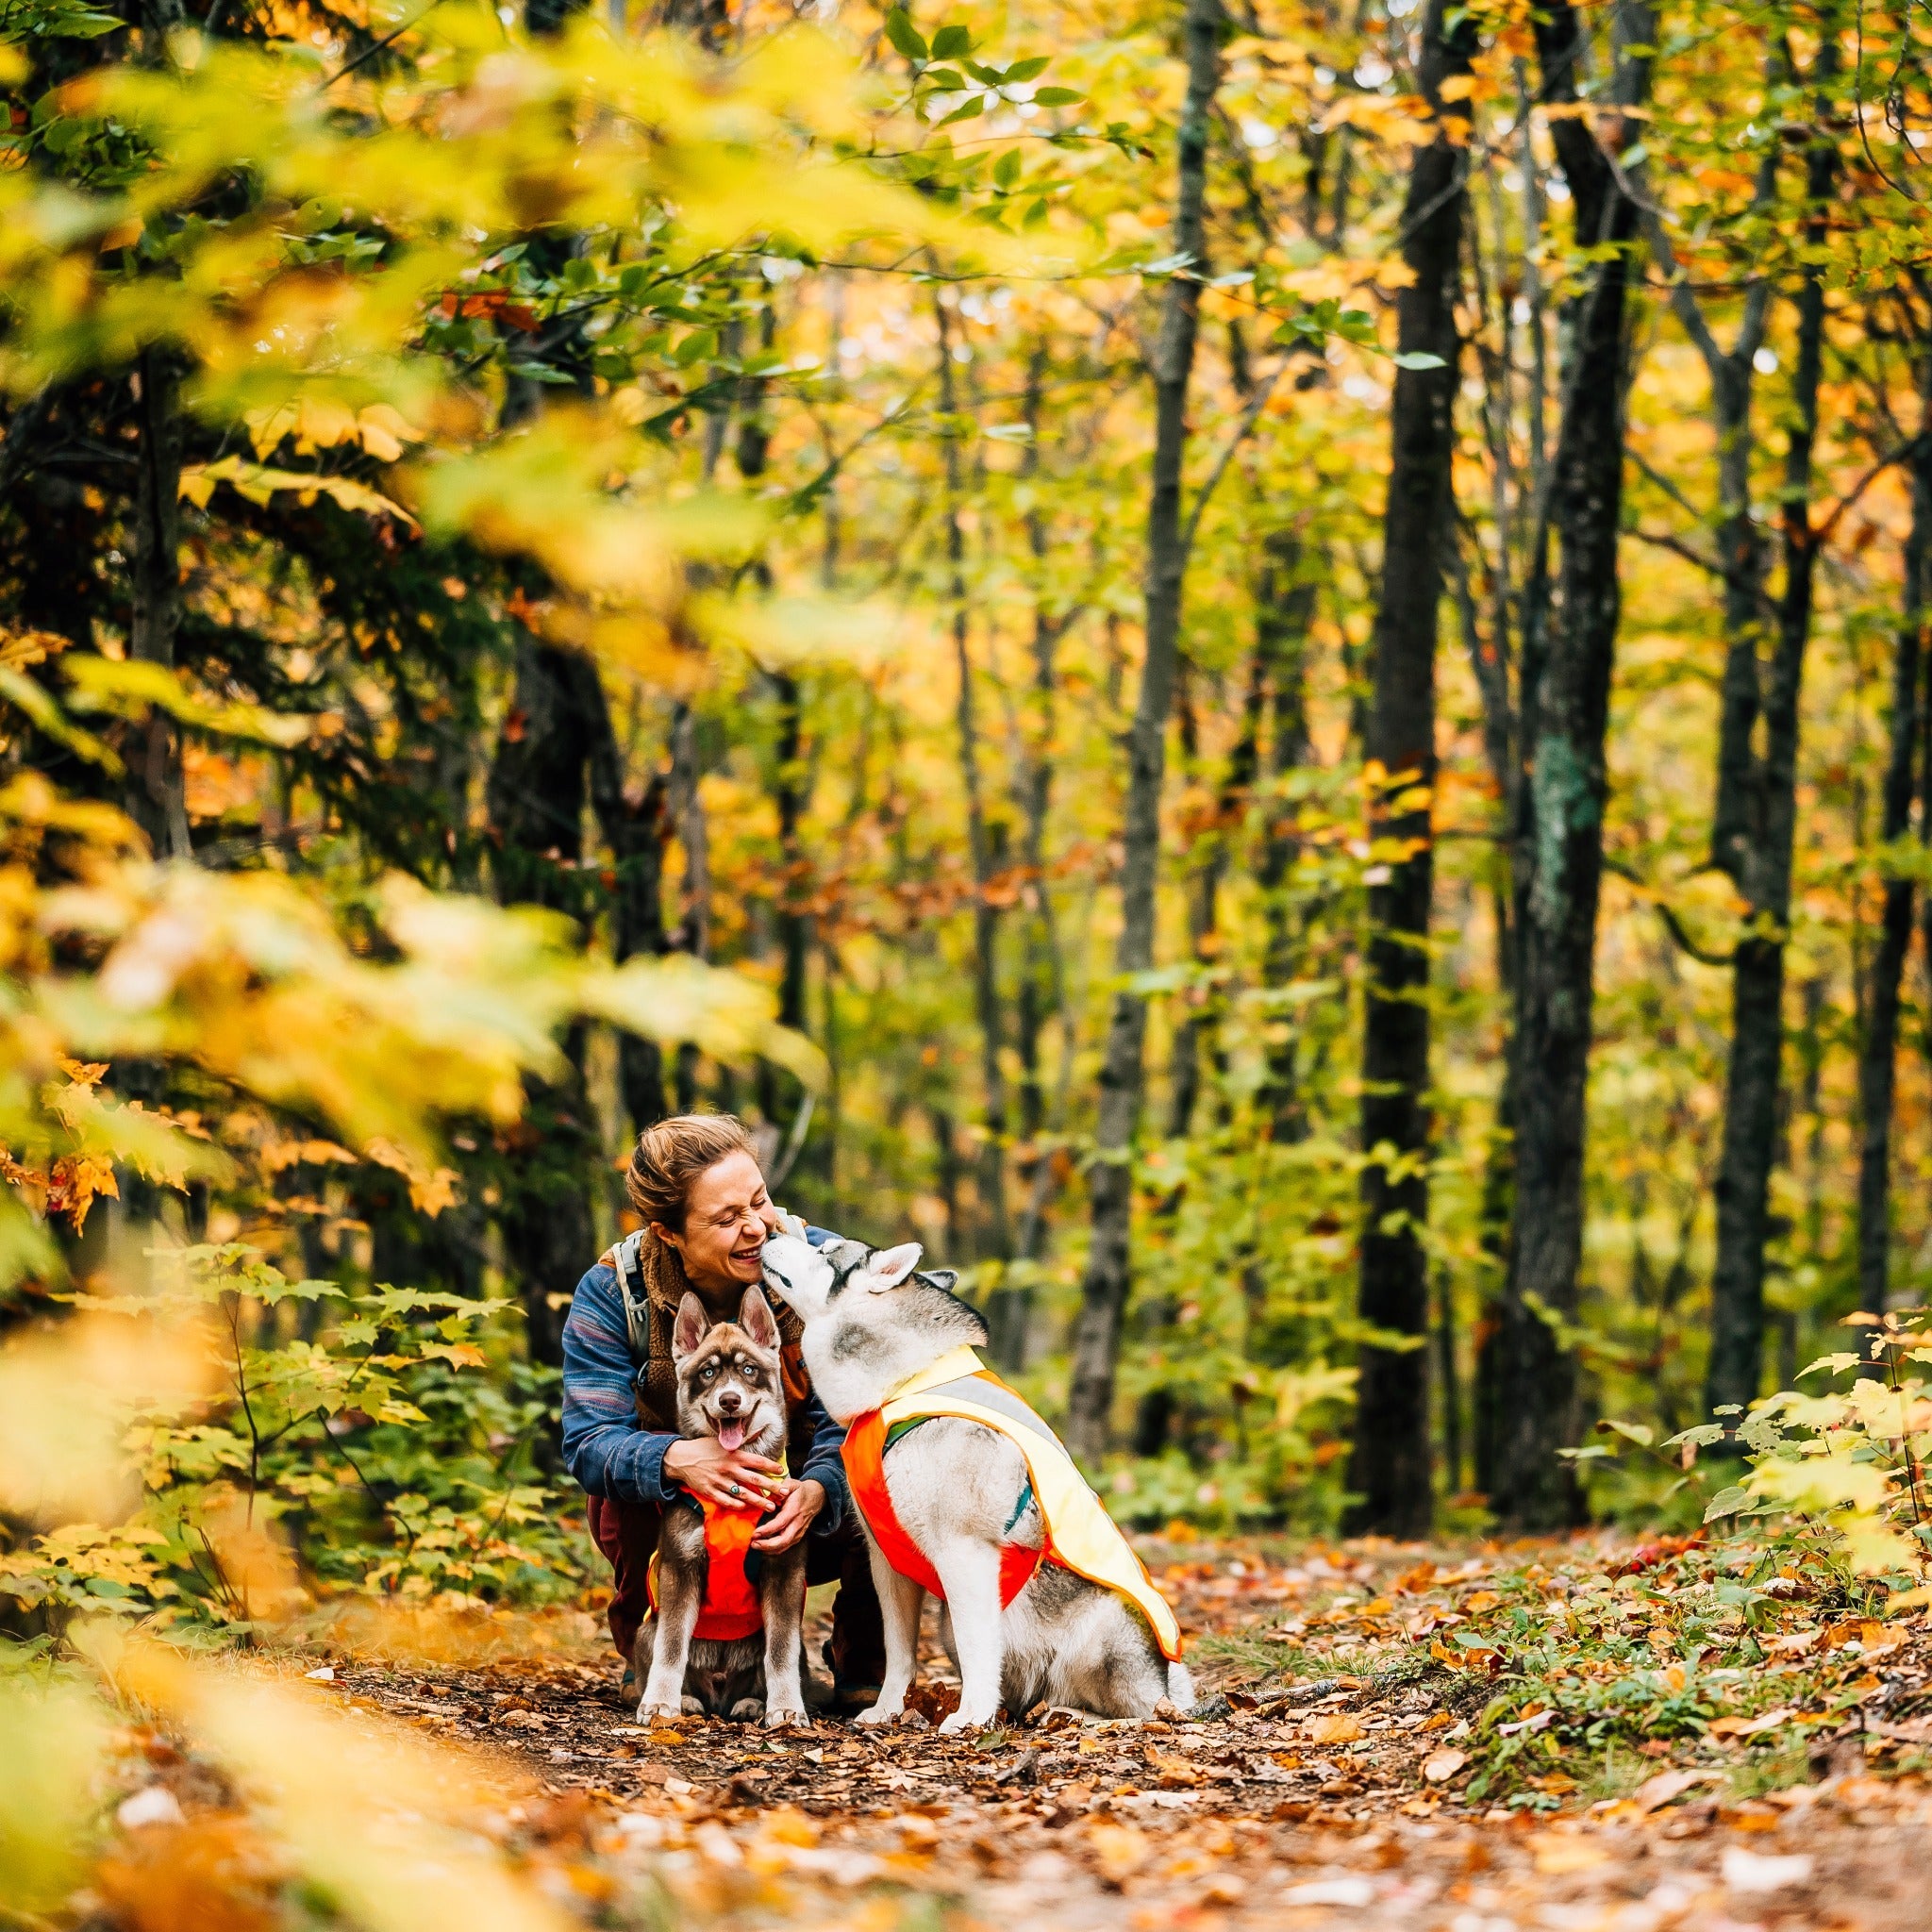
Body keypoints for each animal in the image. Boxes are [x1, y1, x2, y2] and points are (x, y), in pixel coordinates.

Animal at [637, 1291, 811, 1731]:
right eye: (708, 1373)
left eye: (749, 1370)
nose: (729, 1400)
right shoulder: (680, 1568)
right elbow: (671, 1646)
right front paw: (659, 1703)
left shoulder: (783, 1570)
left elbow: (780, 1651)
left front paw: (786, 1708)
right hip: (643, 1631)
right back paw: (686, 1699)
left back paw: (752, 1703)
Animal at [757, 1228, 1190, 1746]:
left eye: (824, 1251)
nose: (771, 1230)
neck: (904, 1386)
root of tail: (1164, 1674)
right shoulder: (887, 1560)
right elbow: (898, 1651)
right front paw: (888, 1710)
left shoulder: (964, 1555)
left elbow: (976, 1645)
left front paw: (971, 1718)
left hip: (1103, 1641)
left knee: (1154, 1712)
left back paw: (1078, 1716)